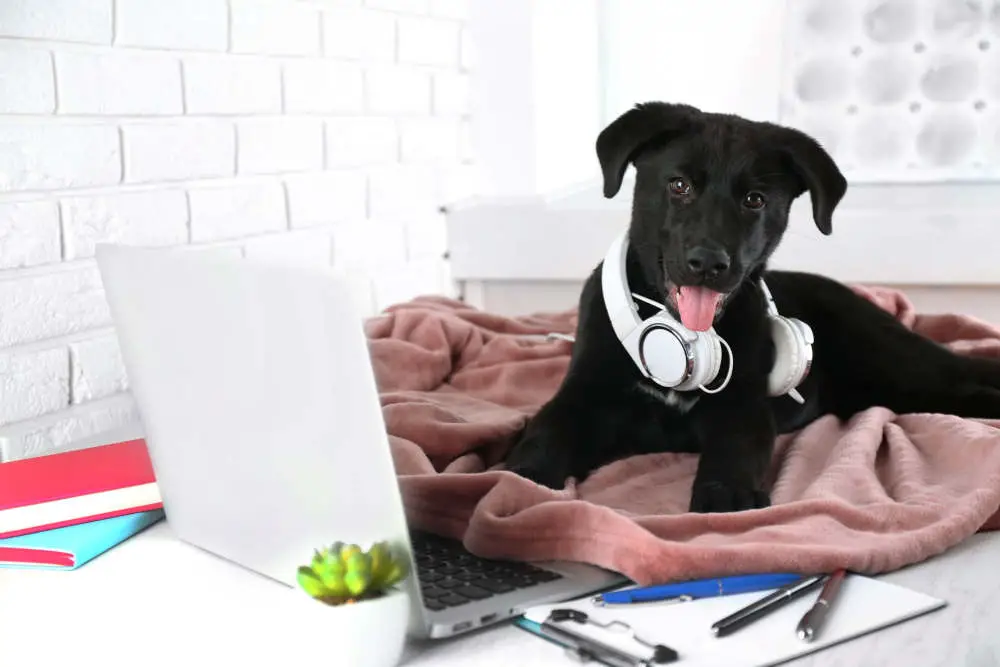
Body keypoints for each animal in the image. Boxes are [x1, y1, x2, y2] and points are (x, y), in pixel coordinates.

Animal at [504, 102, 1000, 516]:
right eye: (679, 186)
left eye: (754, 200)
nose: (708, 263)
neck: (679, 340)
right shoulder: (582, 394)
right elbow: (548, 429)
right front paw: (519, 476)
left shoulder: (744, 403)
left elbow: (736, 446)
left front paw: (727, 495)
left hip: (898, 366)